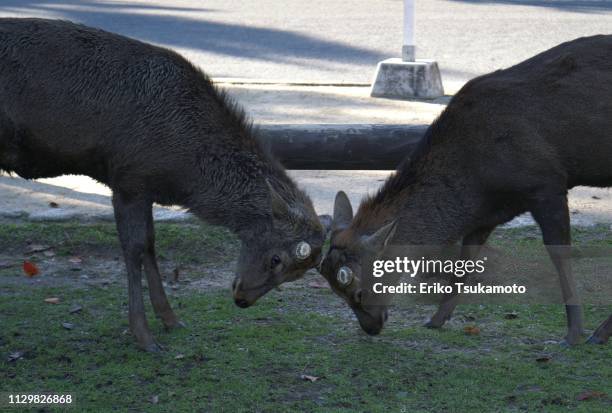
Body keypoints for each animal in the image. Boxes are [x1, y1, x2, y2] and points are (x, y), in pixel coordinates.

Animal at [0, 17, 328, 350]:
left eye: (294, 275)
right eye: (276, 258)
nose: (242, 299)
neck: (183, 174)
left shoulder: (145, 190)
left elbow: (150, 244)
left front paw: (170, 318)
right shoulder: (127, 179)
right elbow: (133, 249)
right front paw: (143, 334)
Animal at [318, 34, 612, 344]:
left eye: (358, 292)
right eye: (336, 291)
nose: (371, 327)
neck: (477, 183)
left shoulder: (546, 181)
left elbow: (560, 255)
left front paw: (574, 332)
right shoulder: (489, 213)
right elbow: (465, 259)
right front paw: (436, 318)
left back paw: (598, 333)